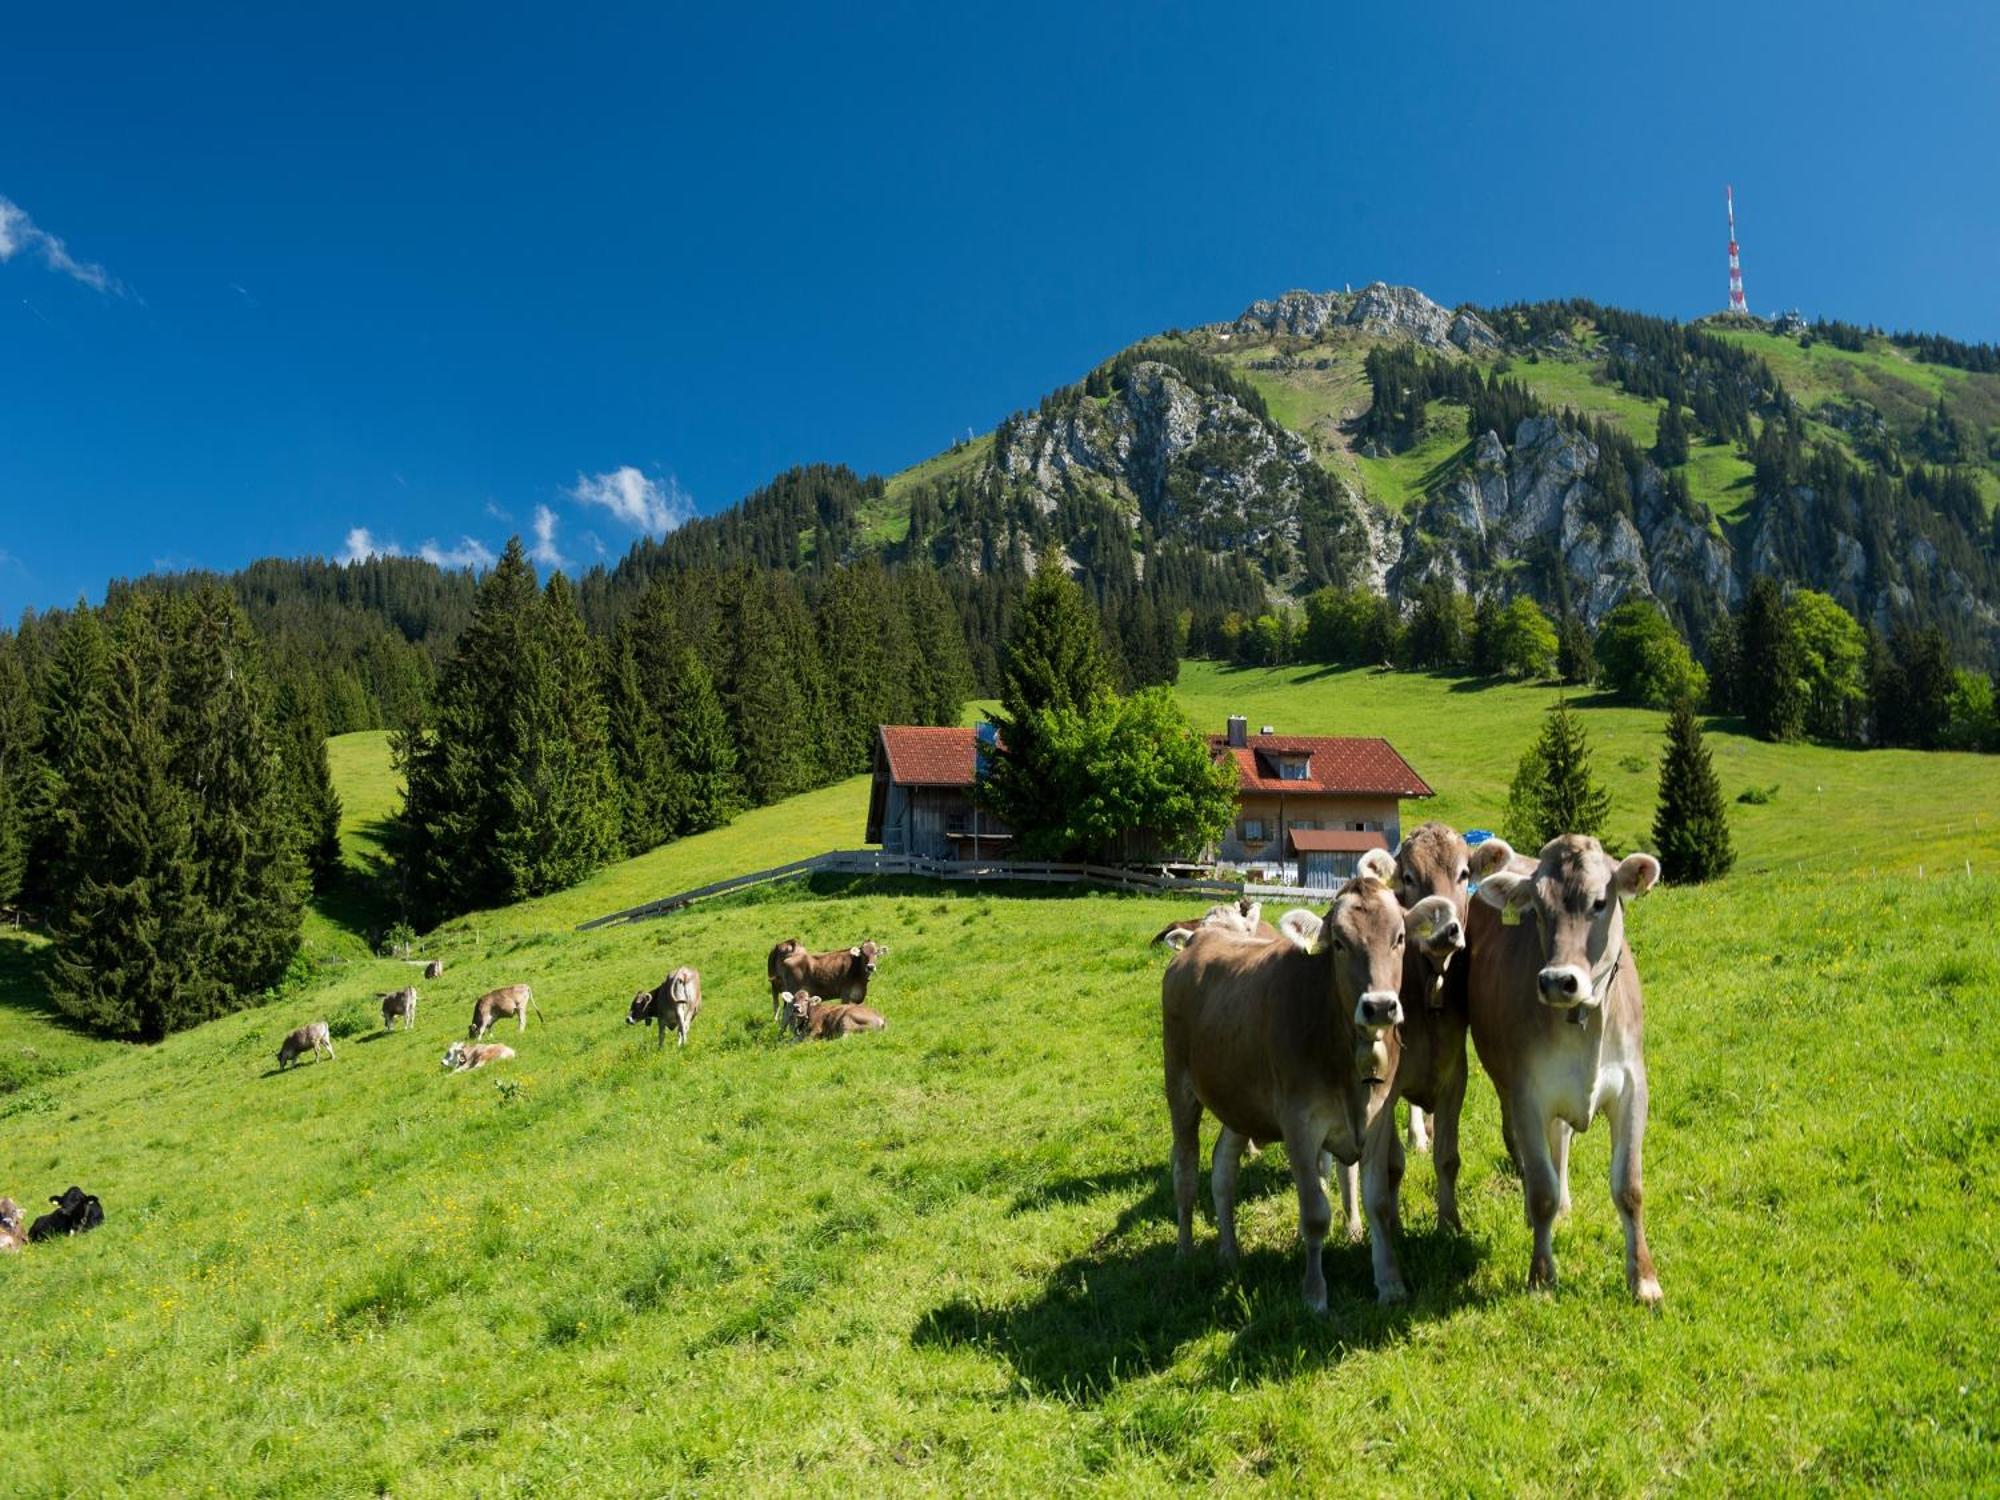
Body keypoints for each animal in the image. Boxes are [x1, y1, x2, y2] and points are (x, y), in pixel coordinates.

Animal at [1160, 876, 1424, 1312]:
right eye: (1339, 943)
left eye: (1399, 937)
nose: (1380, 1007)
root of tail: (1201, 939)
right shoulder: (1299, 1125)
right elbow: (1315, 1214)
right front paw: (1314, 1295)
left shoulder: (1378, 1119)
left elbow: (1379, 1203)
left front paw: (1390, 1284)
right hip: (1179, 1085)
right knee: (1185, 1167)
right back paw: (1184, 1252)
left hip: (1239, 1100)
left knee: (1222, 1168)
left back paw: (1229, 1253)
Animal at [1464, 836, 1664, 1304]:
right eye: (1537, 909)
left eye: (1600, 902)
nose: (1558, 980)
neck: (1583, 1024)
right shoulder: (1528, 1094)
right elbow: (1540, 1191)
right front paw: (1541, 1278)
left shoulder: (1633, 1088)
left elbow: (1629, 1188)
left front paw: (1644, 1279)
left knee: (1562, 1143)